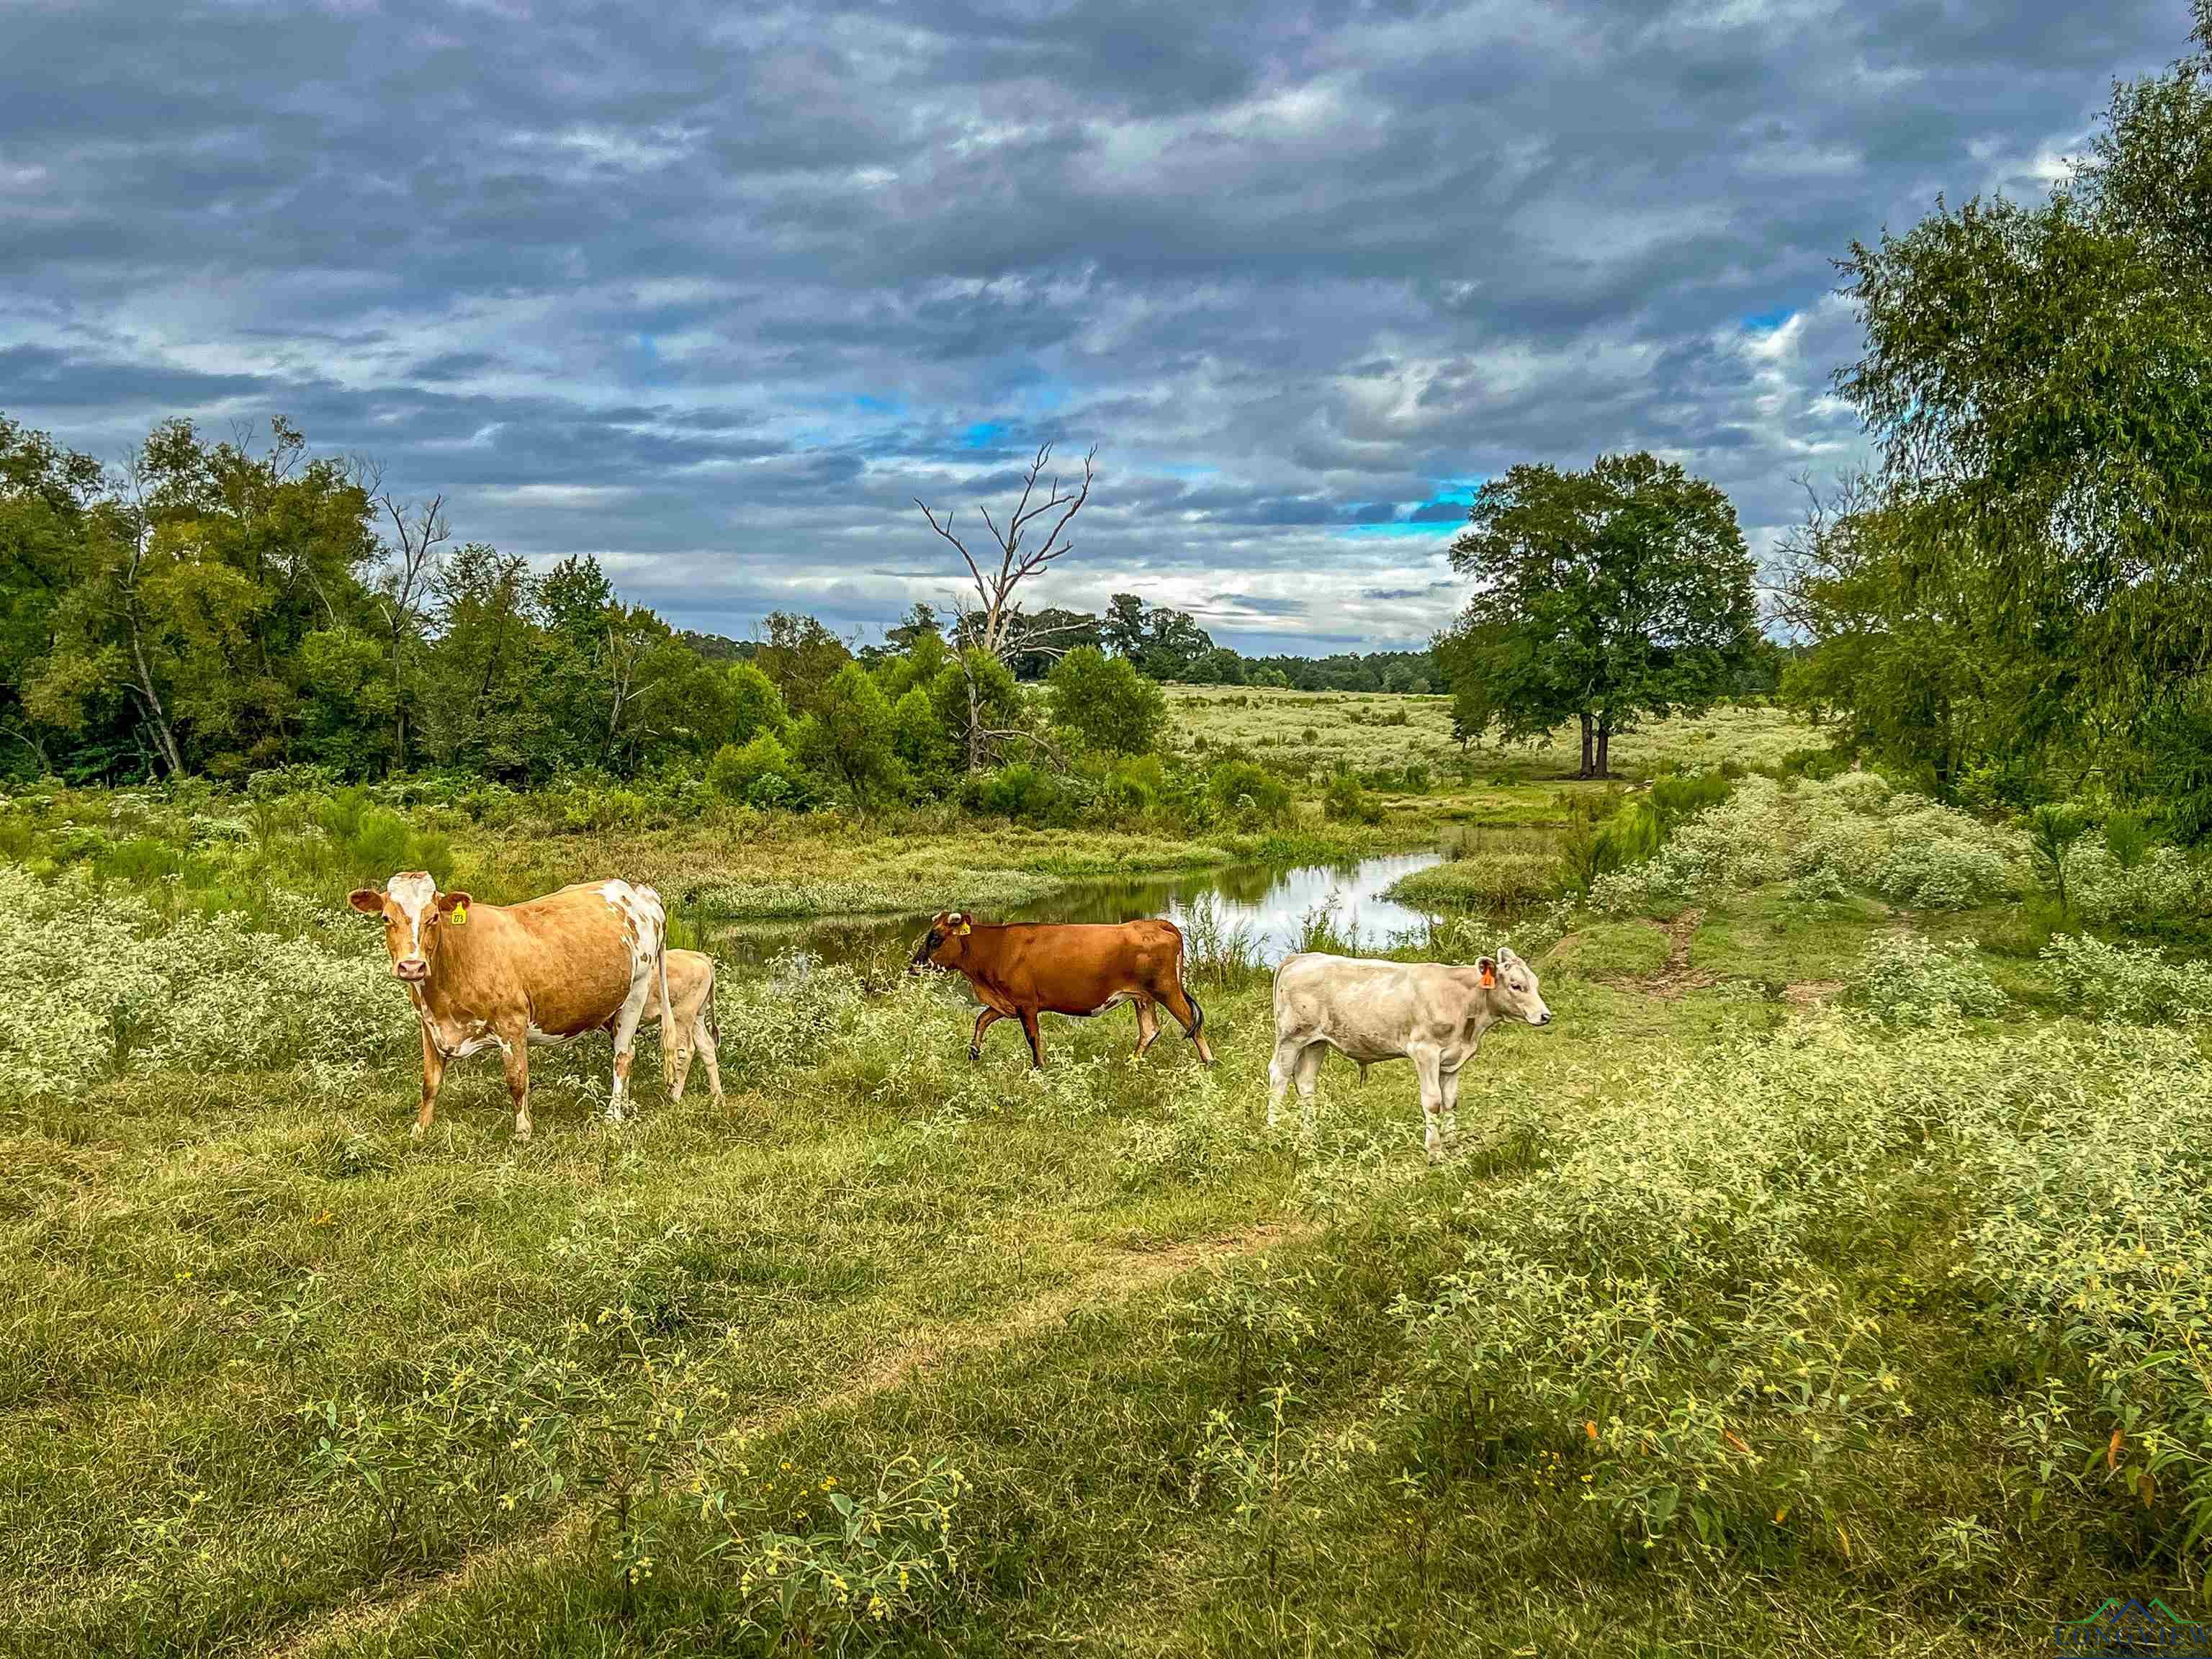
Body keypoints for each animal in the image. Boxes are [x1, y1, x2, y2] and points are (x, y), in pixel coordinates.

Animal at [345, 871, 667, 1141]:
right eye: (386, 918)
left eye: (434, 917)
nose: (412, 966)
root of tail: (639, 890)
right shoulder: (428, 1024)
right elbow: (430, 1082)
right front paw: (420, 1129)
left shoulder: (512, 1023)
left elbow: (517, 1080)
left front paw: (523, 1131)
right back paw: (626, 1104)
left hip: (636, 992)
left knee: (623, 1056)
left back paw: (614, 1114)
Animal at [902, 915, 1212, 1070]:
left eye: (936, 938)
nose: (914, 966)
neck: (996, 948)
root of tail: (1153, 922)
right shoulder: (1005, 1003)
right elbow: (981, 1020)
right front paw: (974, 1053)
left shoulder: (1026, 1004)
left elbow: (1033, 1037)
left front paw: (1039, 1068)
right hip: (1142, 996)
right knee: (1150, 1030)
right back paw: (1131, 1064)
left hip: (1166, 989)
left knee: (1191, 1022)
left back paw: (1209, 1061)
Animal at [1265, 946, 1557, 1168]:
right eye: (1517, 986)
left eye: (1536, 984)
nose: (1545, 1016)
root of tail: (1301, 957)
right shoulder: (1425, 1052)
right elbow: (1433, 1102)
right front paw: (1435, 1152)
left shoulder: (1453, 1059)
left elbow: (1450, 1101)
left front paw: (1453, 1146)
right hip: (1291, 1036)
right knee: (1279, 1076)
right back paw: (1274, 1132)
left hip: (1317, 1042)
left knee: (1306, 1082)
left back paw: (1309, 1135)